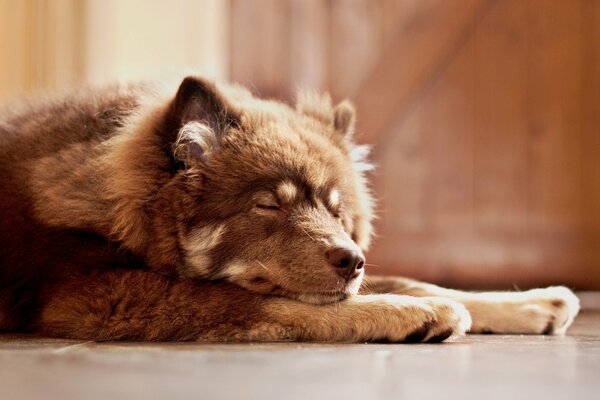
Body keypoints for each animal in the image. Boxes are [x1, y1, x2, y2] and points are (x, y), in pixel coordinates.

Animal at [1, 77, 580, 340]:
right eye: (268, 206)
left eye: (338, 213)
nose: (351, 259)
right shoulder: (98, 295)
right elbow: (268, 304)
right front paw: (412, 314)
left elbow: (407, 278)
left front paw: (531, 303)